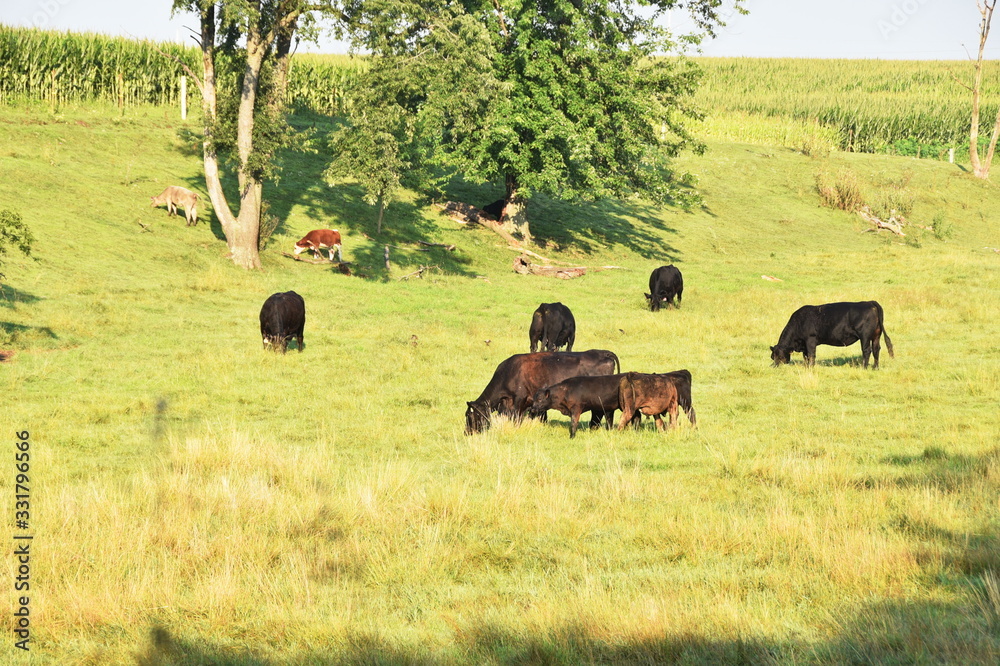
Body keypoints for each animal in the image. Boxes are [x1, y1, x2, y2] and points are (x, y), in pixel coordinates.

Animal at [465, 350, 620, 434]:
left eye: (469, 416)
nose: (467, 433)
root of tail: (603, 352)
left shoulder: (519, 400)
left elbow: (516, 418)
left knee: (599, 413)